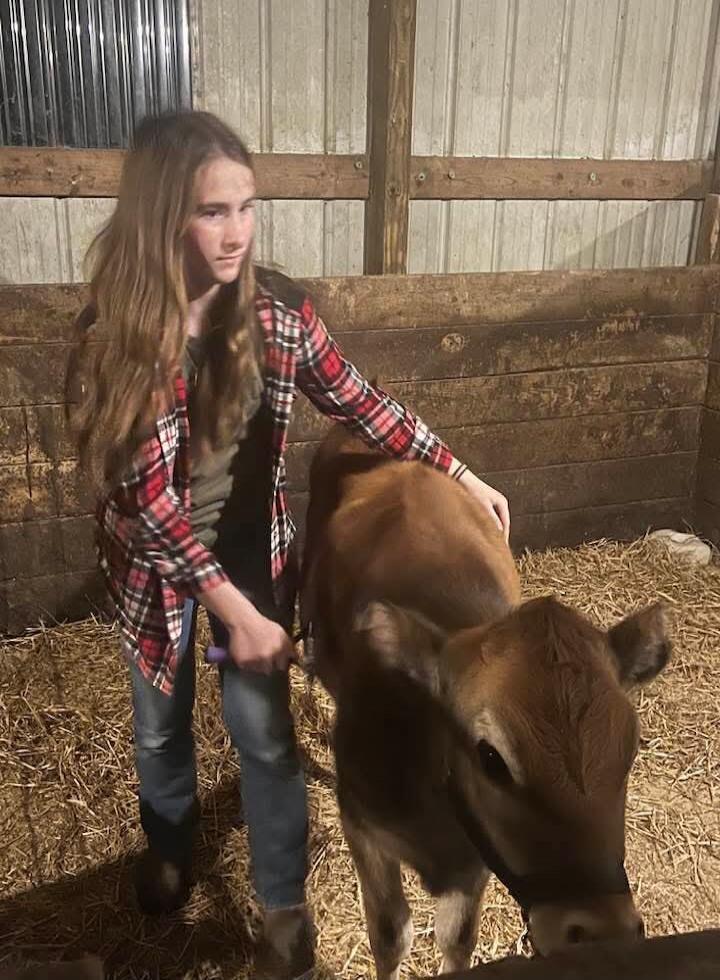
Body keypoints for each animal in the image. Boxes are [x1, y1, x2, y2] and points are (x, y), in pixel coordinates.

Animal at [300, 426, 670, 980]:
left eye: (631, 751)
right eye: (491, 758)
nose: (600, 930)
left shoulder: (477, 858)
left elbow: (458, 939)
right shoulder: (362, 825)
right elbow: (389, 936)